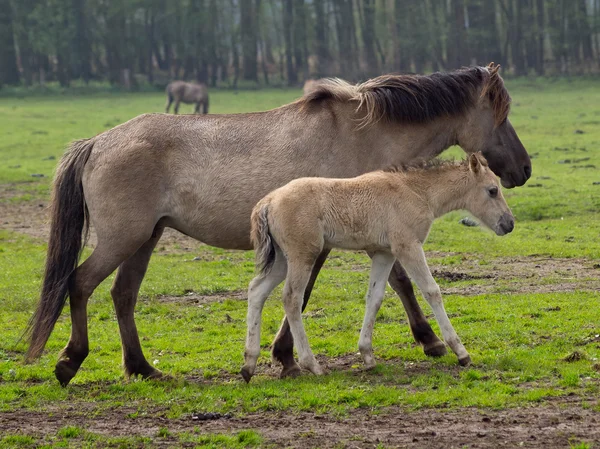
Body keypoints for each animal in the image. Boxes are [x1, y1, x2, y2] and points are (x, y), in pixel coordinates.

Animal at [241, 154, 512, 382]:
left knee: (256, 290)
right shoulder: (408, 246)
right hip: (302, 255)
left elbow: (375, 297)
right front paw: (461, 351)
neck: (417, 191)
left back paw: (248, 364)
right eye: (493, 190)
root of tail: (268, 201)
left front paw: (367, 355)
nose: (509, 223)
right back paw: (312, 364)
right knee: (292, 299)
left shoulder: (384, 253)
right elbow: (432, 291)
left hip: (282, 260)